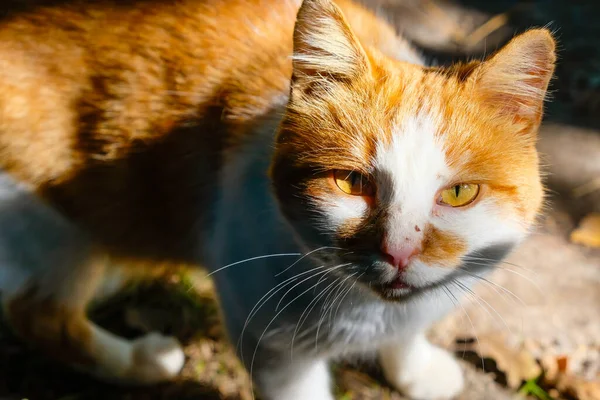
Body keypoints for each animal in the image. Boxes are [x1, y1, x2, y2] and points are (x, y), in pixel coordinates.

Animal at [0, 0, 556, 396]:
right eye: (351, 183)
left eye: (459, 193)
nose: (399, 252)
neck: (366, 310)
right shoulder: (272, 350)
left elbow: (408, 332)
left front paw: (415, 369)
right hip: (48, 228)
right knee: (40, 316)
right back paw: (142, 361)